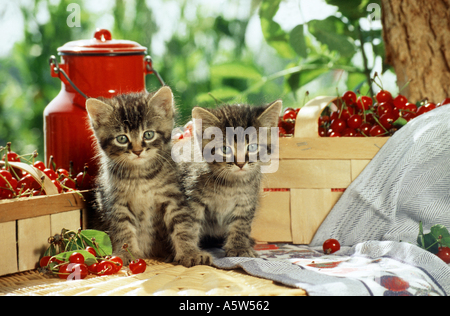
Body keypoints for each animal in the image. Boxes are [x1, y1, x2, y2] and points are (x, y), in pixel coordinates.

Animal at [177, 100, 280, 258]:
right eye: (225, 149)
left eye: (253, 147)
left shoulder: (247, 201)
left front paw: (239, 247)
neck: (230, 184)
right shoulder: (191, 197)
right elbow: (189, 224)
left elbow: (241, 224)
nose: (241, 163)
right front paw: (190, 252)